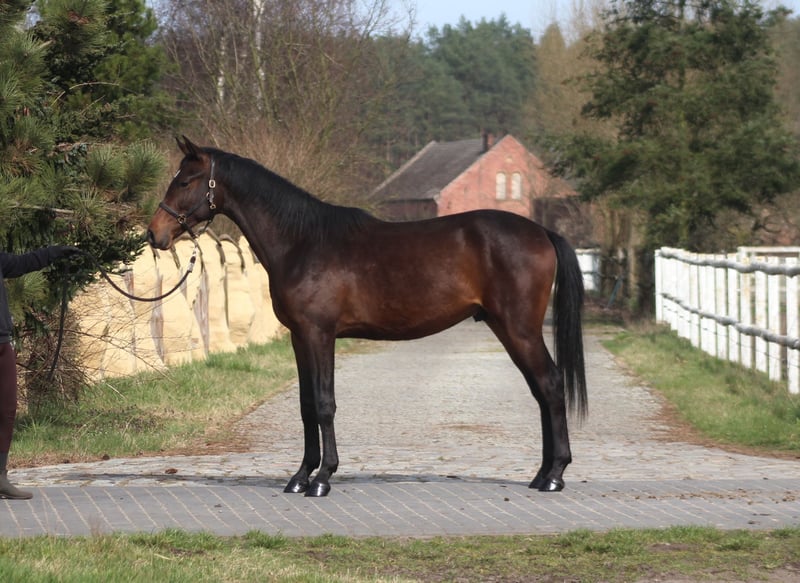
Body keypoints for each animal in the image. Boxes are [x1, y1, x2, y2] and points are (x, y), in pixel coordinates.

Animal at [147, 136, 587, 497]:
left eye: (185, 181)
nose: (155, 234)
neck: (302, 241)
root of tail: (542, 232)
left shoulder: (319, 334)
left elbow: (324, 403)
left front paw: (323, 479)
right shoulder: (299, 338)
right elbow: (306, 405)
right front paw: (300, 477)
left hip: (519, 329)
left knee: (550, 385)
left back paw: (554, 476)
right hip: (507, 328)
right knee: (541, 390)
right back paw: (542, 474)